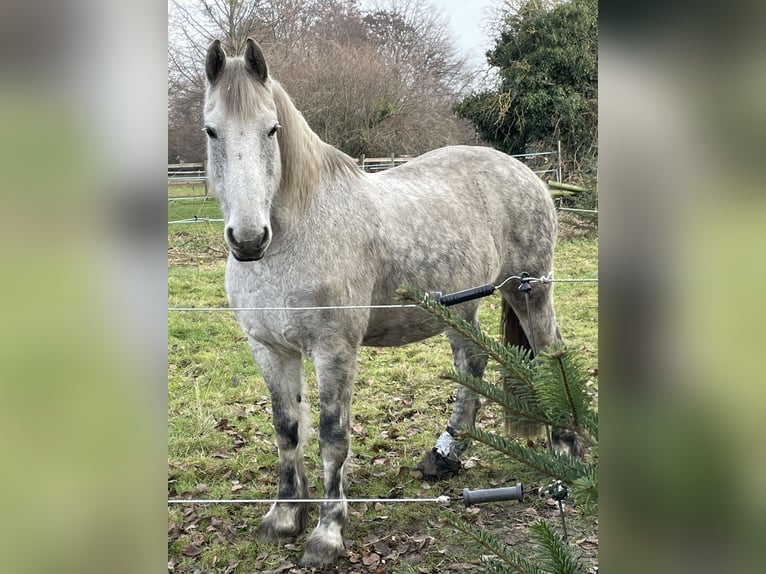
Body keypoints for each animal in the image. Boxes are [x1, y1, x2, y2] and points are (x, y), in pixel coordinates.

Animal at [203, 38, 563, 567]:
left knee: (551, 355)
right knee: (472, 364)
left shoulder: (334, 350)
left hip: (529, 291)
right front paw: (284, 517)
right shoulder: (270, 349)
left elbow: (332, 437)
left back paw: (565, 452)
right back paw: (443, 456)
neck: (298, 233)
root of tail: (523, 170)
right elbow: (287, 430)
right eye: (211, 130)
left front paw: (327, 533)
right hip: (459, 306)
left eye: (272, 129)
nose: (248, 239)